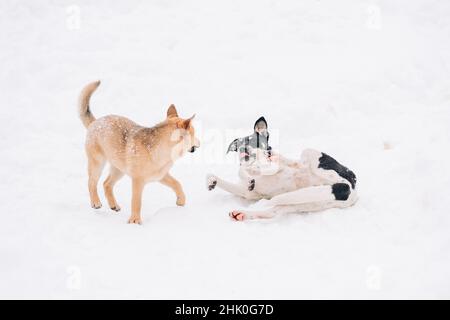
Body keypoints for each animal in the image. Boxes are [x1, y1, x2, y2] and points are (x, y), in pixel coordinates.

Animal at [78, 81, 200, 224]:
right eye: (194, 133)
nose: (200, 143)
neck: (161, 150)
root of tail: (95, 122)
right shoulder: (137, 181)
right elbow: (136, 202)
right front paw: (135, 221)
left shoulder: (161, 176)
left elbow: (177, 184)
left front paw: (181, 200)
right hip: (98, 163)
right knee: (91, 182)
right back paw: (96, 202)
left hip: (119, 169)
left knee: (106, 184)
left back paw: (114, 205)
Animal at [207, 117, 358, 220]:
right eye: (239, 145)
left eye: (254, 141)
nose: (244, 149)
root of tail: (351, 187)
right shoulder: (247, 193)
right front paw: (212, 182)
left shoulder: (272, 166)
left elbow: (257, 166)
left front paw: (255, 170)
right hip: (303, 202)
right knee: (272, 211)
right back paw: (243, 213)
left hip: (313, 157)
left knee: (296, 163)